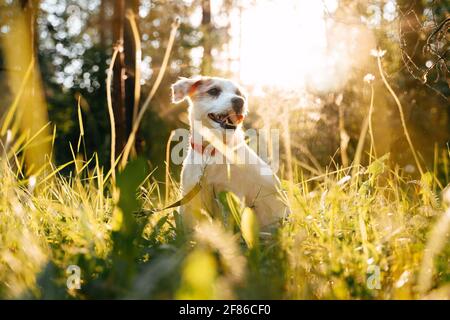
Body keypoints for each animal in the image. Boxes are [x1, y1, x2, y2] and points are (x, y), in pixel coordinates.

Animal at [171, 75, 290, 230]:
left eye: (239, 94)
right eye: (213, 91)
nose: (239, 101)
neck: (211, 152)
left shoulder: (231, 198)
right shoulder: (189, 197)